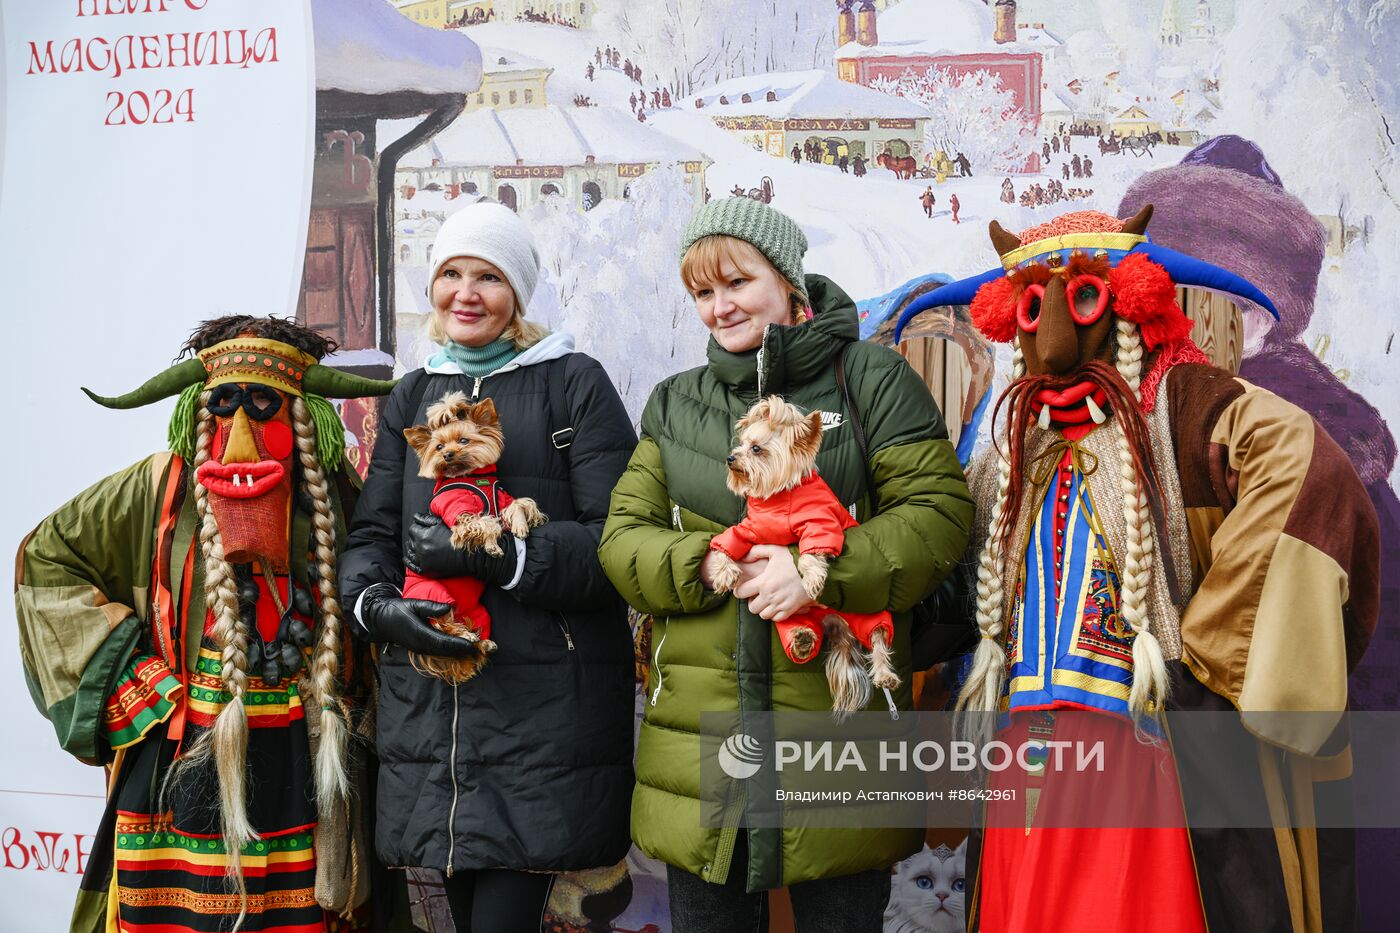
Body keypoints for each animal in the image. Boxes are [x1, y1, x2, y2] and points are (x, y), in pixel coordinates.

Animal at [403, 389, 548, 680]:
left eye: (463, 440)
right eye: (438, 447)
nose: (448, 454)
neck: (472, 477)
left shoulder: (502, 499)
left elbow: (518, 505)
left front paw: (520, 526)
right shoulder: (459, 515)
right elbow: (487, 523)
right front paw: (492, 546)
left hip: (479, 613)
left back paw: (482, 642)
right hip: (434, 597)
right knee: (439, 625)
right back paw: (463, 636)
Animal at [711, 395, 896, 714]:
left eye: (756, 448)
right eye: (742, 443)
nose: (731, 458)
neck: (777, 498)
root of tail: (838, 628)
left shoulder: (821, 523)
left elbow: (813, 550)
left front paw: (810, 579)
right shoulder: (750, 529)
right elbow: (728, 540)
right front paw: (724, 573)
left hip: (868, 613)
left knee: (879, 638)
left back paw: (885, 674)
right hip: (790, 615)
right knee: (800, 632)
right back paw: (802, 639)